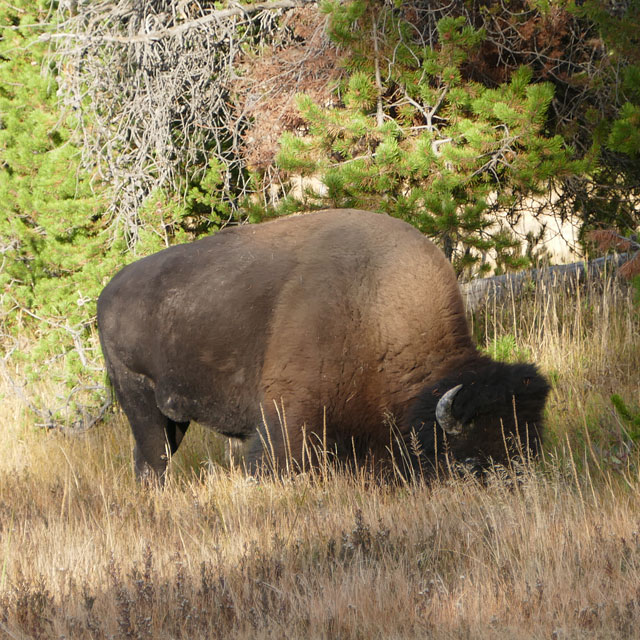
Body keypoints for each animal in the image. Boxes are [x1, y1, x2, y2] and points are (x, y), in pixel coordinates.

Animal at [96, 210, 552, 480]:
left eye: (533, 446)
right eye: (471, 462)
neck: (373, 304)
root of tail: (107, 292)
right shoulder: (288, 418)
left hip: (172, 416)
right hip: (138, 398)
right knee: (153, 458)